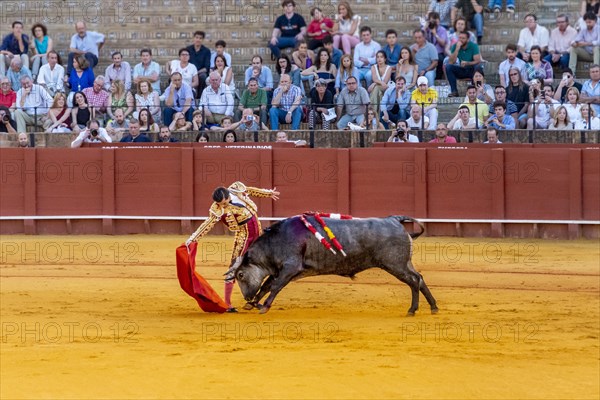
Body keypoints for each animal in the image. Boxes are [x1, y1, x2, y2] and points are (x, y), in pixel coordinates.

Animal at [227, 216, 438, 316]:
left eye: (240, 275)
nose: (247, 296)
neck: (275, 241)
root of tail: (394, 219)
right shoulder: (281, 270)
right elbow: (266, 285)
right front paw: (251, 304)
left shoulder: (290, 268)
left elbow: (275, 286)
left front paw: (263, 306)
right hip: (404, 263)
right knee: (419, 278)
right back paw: (433, 307)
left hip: (395, 264)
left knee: (413, 280)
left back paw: (412, 310)